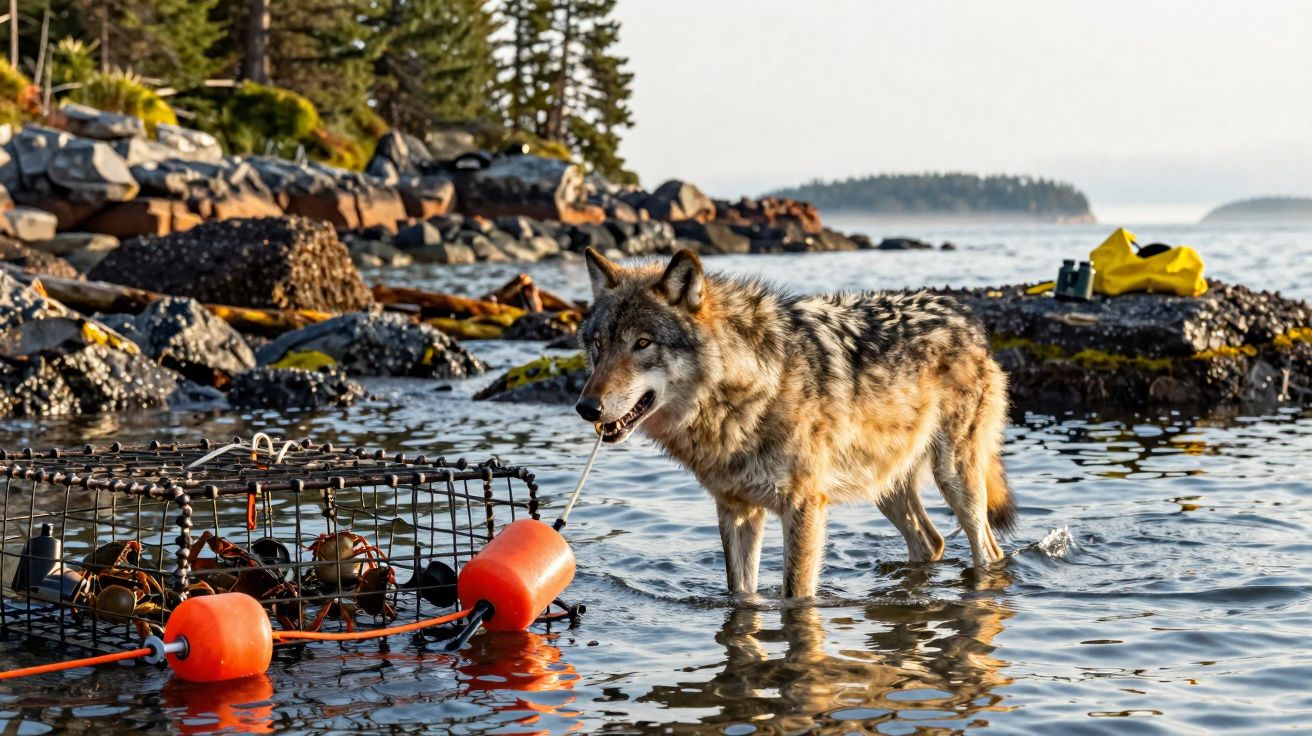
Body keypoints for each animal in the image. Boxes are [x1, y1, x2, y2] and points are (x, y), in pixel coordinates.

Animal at [575, 247, 1016, 600]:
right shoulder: (736, 510)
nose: (587, 407)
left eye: (642, 343)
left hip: (954, 478)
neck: (748, 392)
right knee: (931, 541)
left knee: (987, 549)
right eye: (598, 345)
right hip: (883, 485)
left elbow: (794, 598)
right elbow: (741, 595)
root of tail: (967, 317)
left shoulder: (804, 507)